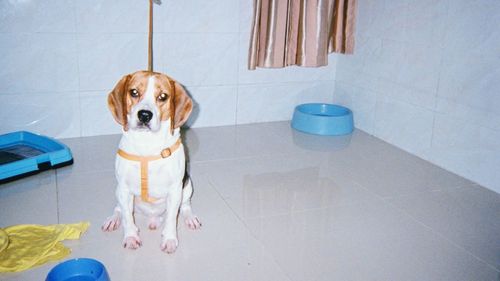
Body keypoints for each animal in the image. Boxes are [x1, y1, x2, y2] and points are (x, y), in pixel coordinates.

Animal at [101, 70, 201, 254]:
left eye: (163, 96)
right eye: (134, 92)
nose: (144, 115)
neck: (146, 145)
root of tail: (152, 217)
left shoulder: (175, 189)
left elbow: (171, 218)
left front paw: (169, 239)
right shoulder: (124, 188)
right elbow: (127, 217)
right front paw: (131, 237)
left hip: (187, 184)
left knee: (184, 206)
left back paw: (190, 218)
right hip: (118, 190)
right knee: (119, 209)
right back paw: (113, 219)